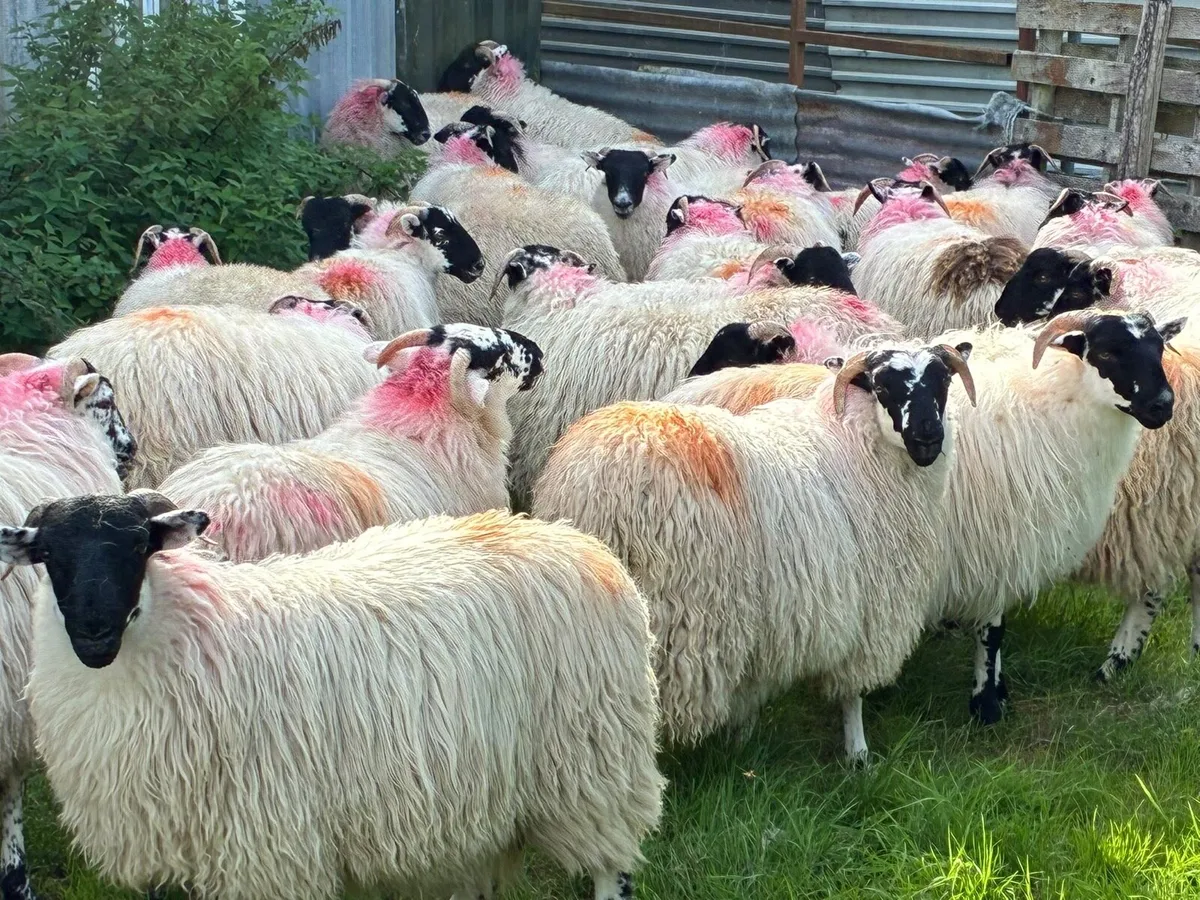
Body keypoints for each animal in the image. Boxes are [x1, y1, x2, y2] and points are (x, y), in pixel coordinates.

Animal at [5, 493, 664, 900]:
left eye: (140, 547)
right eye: (50, 555)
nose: (93, 633)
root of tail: (577, 542)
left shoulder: (269, 843)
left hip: (594, 762)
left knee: (613, 867)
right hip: (489, 784)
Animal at [533, 340, 975, 758]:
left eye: (943, 380)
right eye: (883, 386)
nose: (927, 436)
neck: (855, 441)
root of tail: (599, 483)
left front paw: (742, 741)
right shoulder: (872, 608)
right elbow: (853, 693)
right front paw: (858, 751)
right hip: (679, 614)